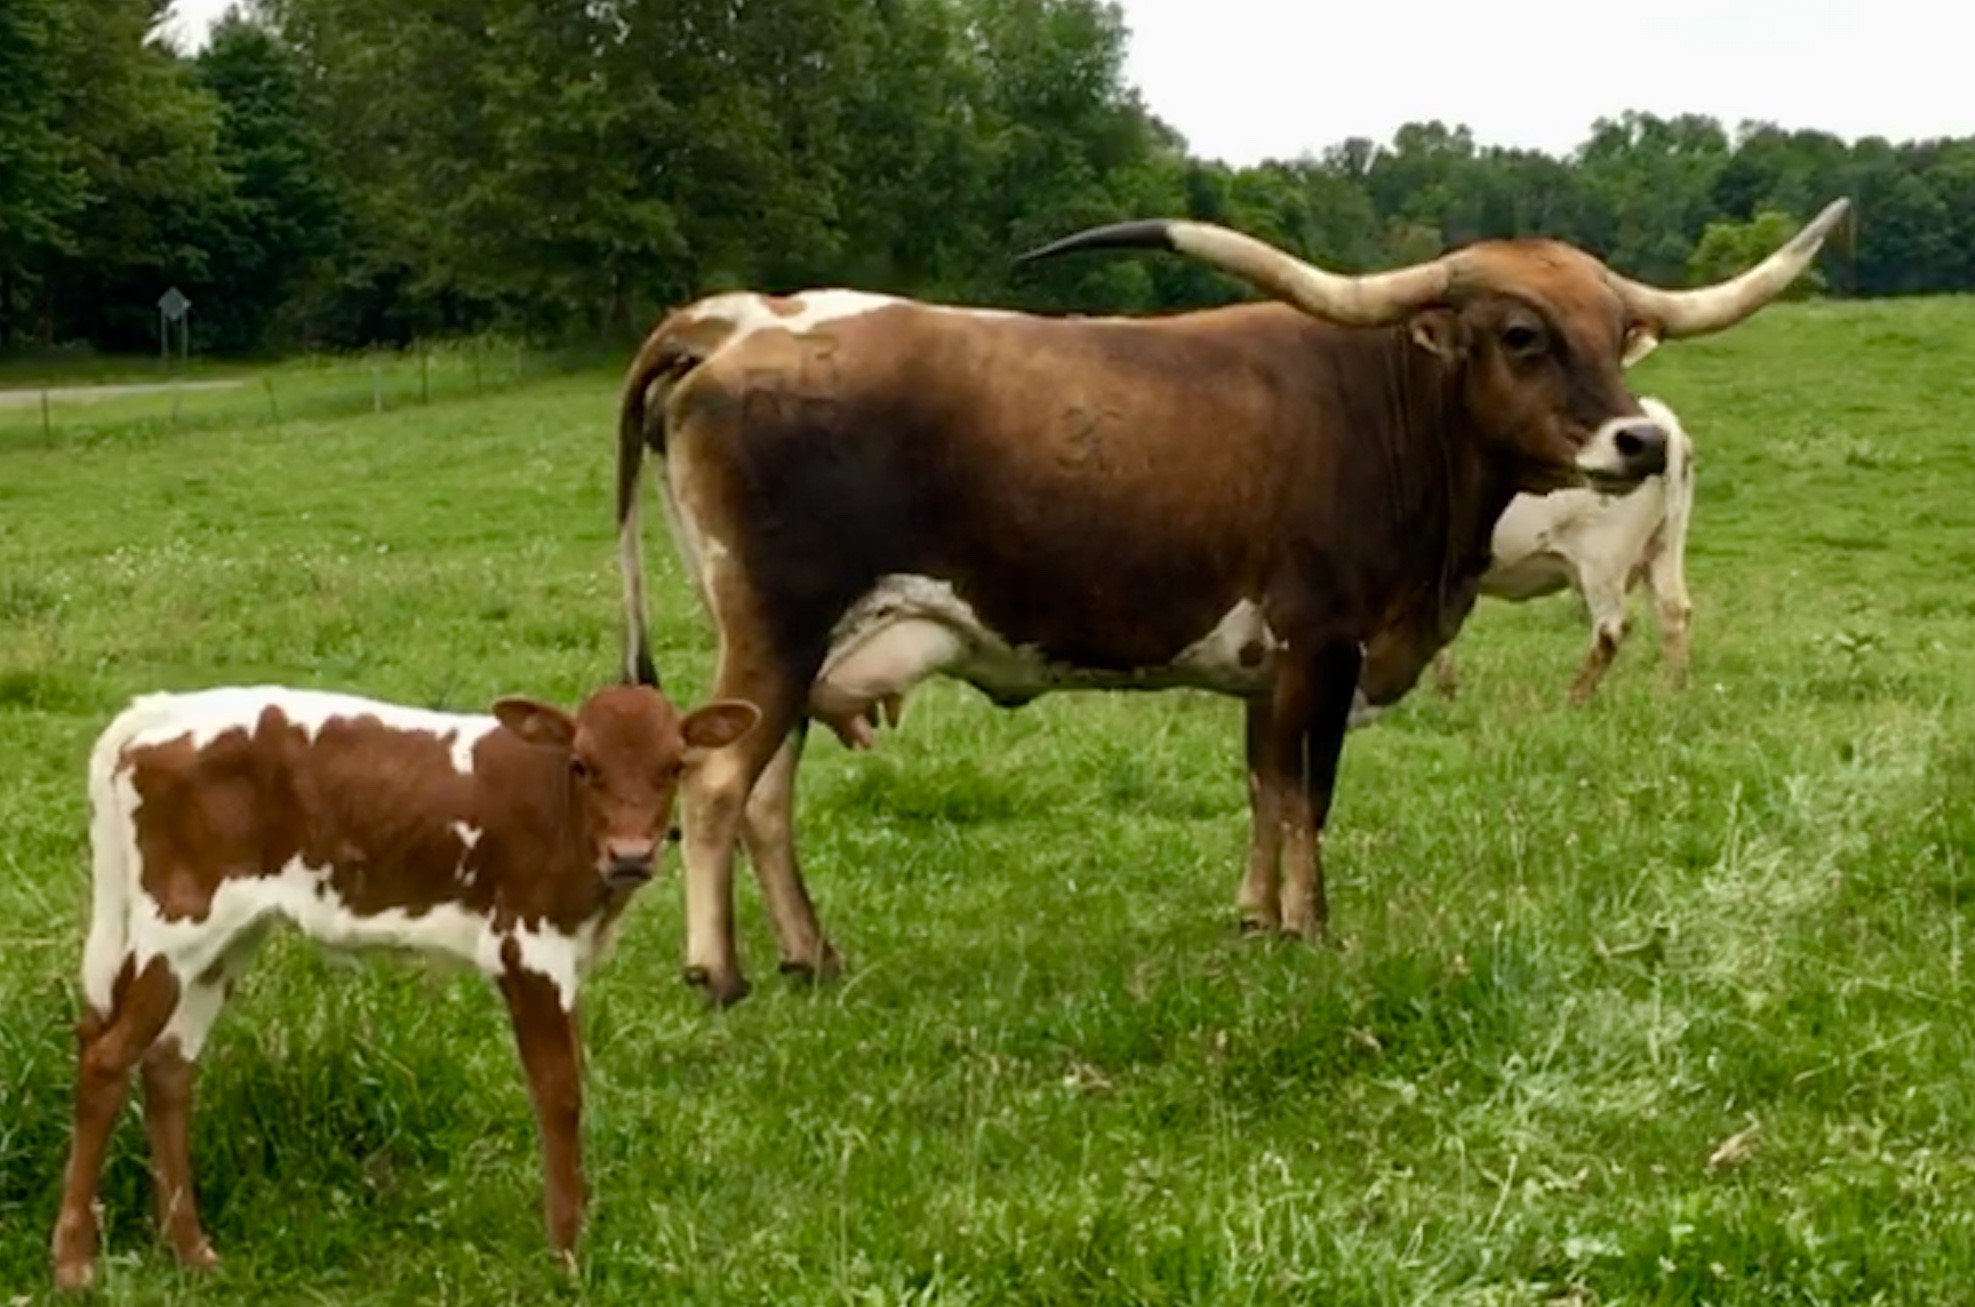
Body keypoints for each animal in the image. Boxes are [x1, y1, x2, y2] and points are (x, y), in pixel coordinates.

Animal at [50, 682, 758, 1290]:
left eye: (674, 765)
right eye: (583, 764)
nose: (631, 854)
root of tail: (164, 709)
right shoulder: (530, 950)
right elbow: (559, 1095)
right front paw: (565, 1254)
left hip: (224, 939)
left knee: (169, 1066)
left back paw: (191, 1250)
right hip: (176, 924)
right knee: (106, 1057)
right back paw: (74, 1261)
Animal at [1422, 394, 1697, 705]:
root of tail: (1663, 423)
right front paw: (1446, 691)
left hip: (1603, 559)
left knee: (1612, 628)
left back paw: (1575, 697)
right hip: (1664, 545)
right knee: (1673, 611)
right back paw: (1672, 691)